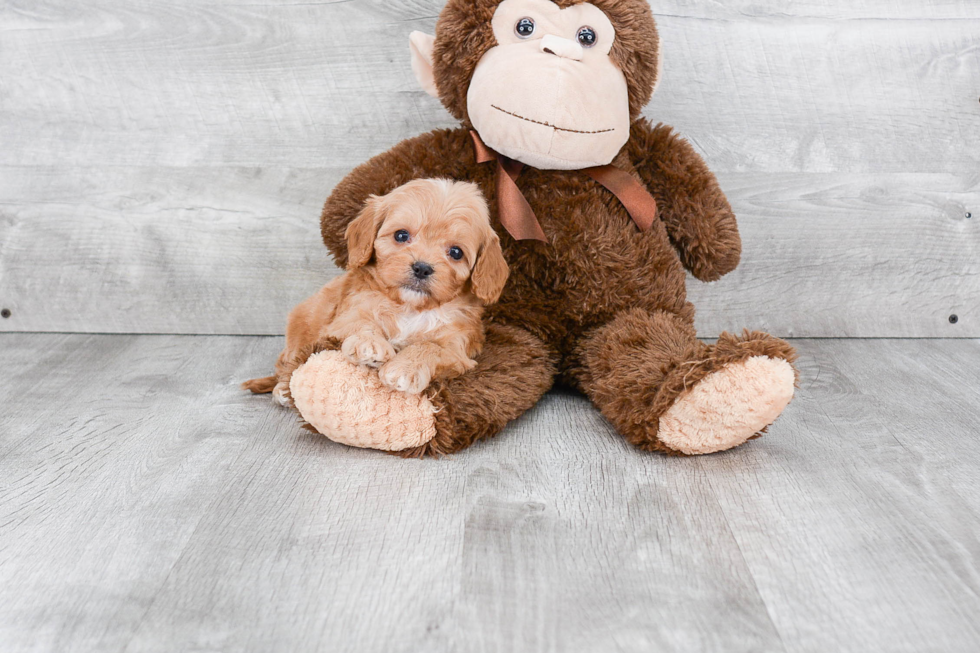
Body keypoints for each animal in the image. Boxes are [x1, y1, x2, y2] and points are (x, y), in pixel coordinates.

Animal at [245, 178, 510, 402]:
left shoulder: (458, 349)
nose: (422, 268)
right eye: (401, 235)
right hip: (300, 328)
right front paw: (369, 345)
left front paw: (405, 368)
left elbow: (430, 346)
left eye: (456, 252)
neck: (410, 308)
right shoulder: (345, 316)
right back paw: (282, 388)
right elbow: (360, 323)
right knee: (288, 362)